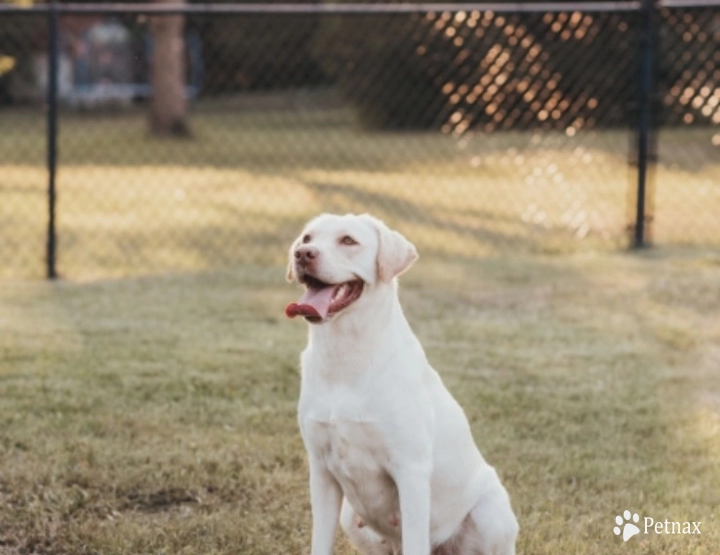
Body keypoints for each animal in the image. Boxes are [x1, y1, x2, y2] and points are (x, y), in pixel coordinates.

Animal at [286, 214, 516, 555]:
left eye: (348, 240)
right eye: (307, 238)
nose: (302, 254)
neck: (345, 356)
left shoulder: (411, 471)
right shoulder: (322, 471)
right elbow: (320, 544)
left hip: (491, 513)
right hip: (351, 518)